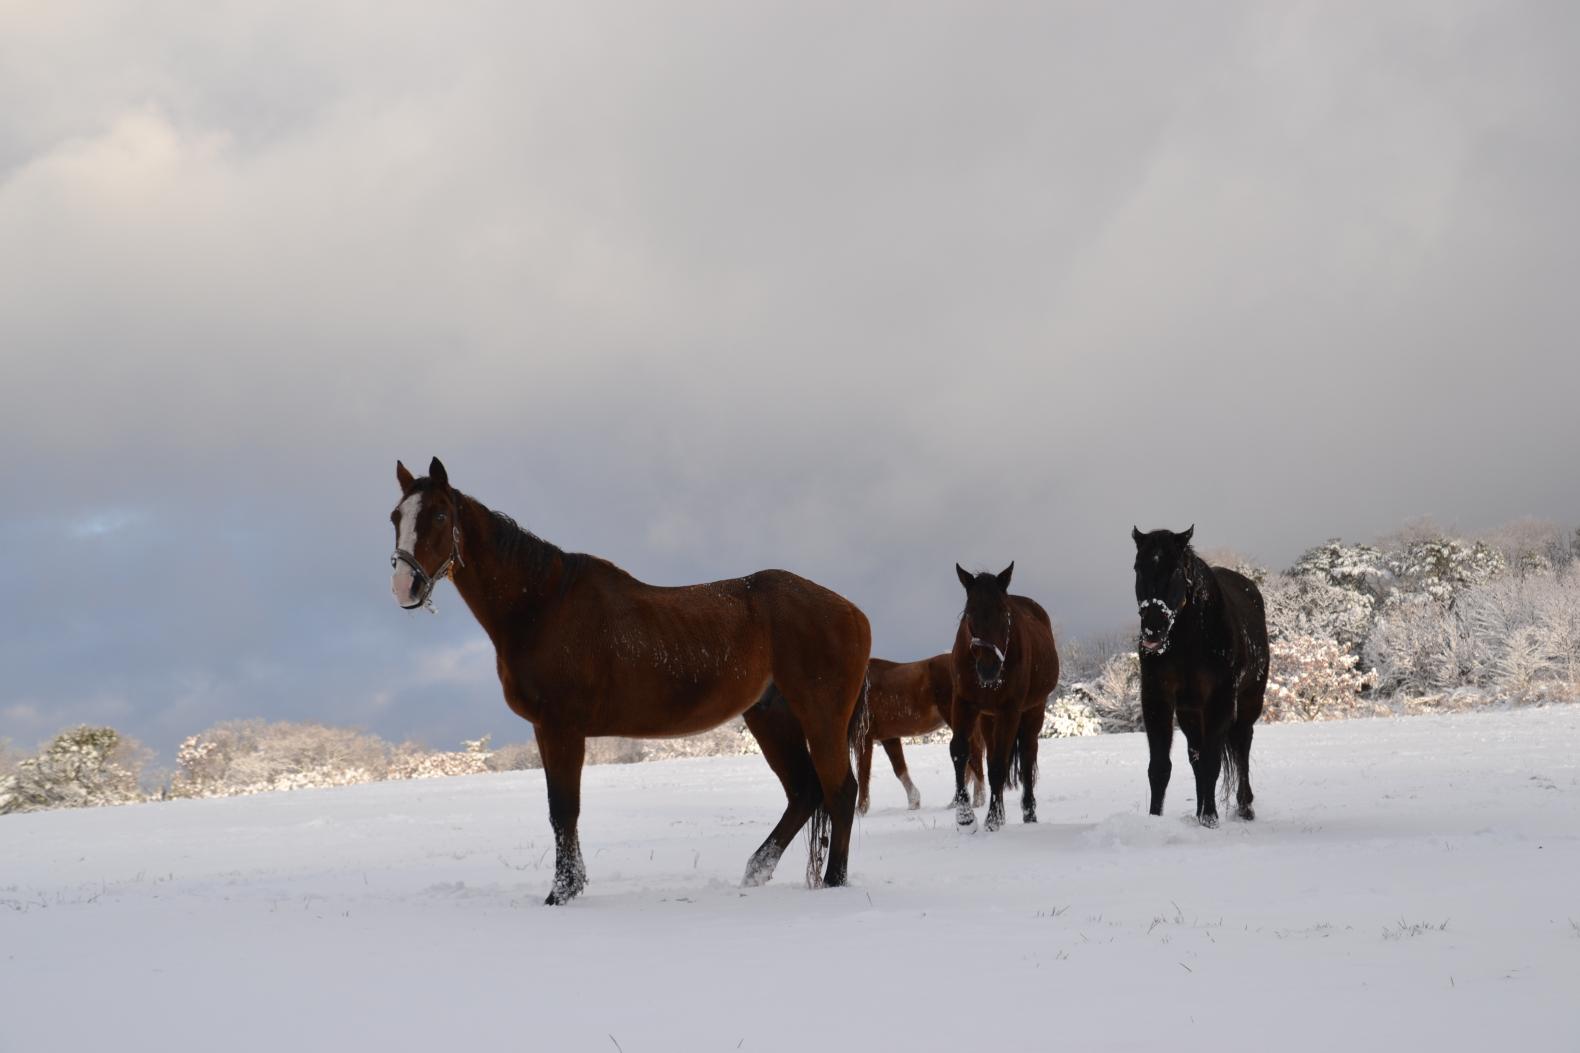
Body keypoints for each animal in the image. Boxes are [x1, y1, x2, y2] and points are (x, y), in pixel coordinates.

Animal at [387, 455, 872, 898]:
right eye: (396, 517)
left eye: (440, 515)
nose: (405, 587)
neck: (541, 606)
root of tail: (852, 611)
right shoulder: (546, 730)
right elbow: (560, 811)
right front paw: (572, 884)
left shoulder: (562, 728)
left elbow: (565, 810)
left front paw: (561, 892)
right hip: (770, 717)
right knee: (805, 792)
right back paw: (756, 872)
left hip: (820, 717)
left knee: (840, 791)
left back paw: (834, 882)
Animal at [859, 651, 979, 815]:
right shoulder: (889, 737)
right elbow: (899, 768)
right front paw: (913, 802)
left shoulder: (865, 737)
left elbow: (863, 772)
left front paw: (860, 809)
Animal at [948, 562, 1061, 822]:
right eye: (969, 613)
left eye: (1004, 613)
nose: (988, 668)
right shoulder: (964, 702)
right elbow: (960, 751)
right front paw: (965, 817)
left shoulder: (1010, 711)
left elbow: (1000, 765)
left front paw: (992, 820)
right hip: (989, 718)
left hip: (1032, 711)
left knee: (1028, 757)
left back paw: (1029, 813)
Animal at [1131, 521, 1264, 822]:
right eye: (1137, 568)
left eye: (1176, 570)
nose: (1153, 630)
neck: (1188, 640)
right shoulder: (1157, 699)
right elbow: (1160, 768)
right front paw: (1156, 817)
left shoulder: (1220, 700)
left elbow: (1212, 762)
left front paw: (1210, 818)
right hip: (1191, 713)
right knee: (1196, 757)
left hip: (1249, 701)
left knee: (1242, 745)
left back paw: (1244, 806)